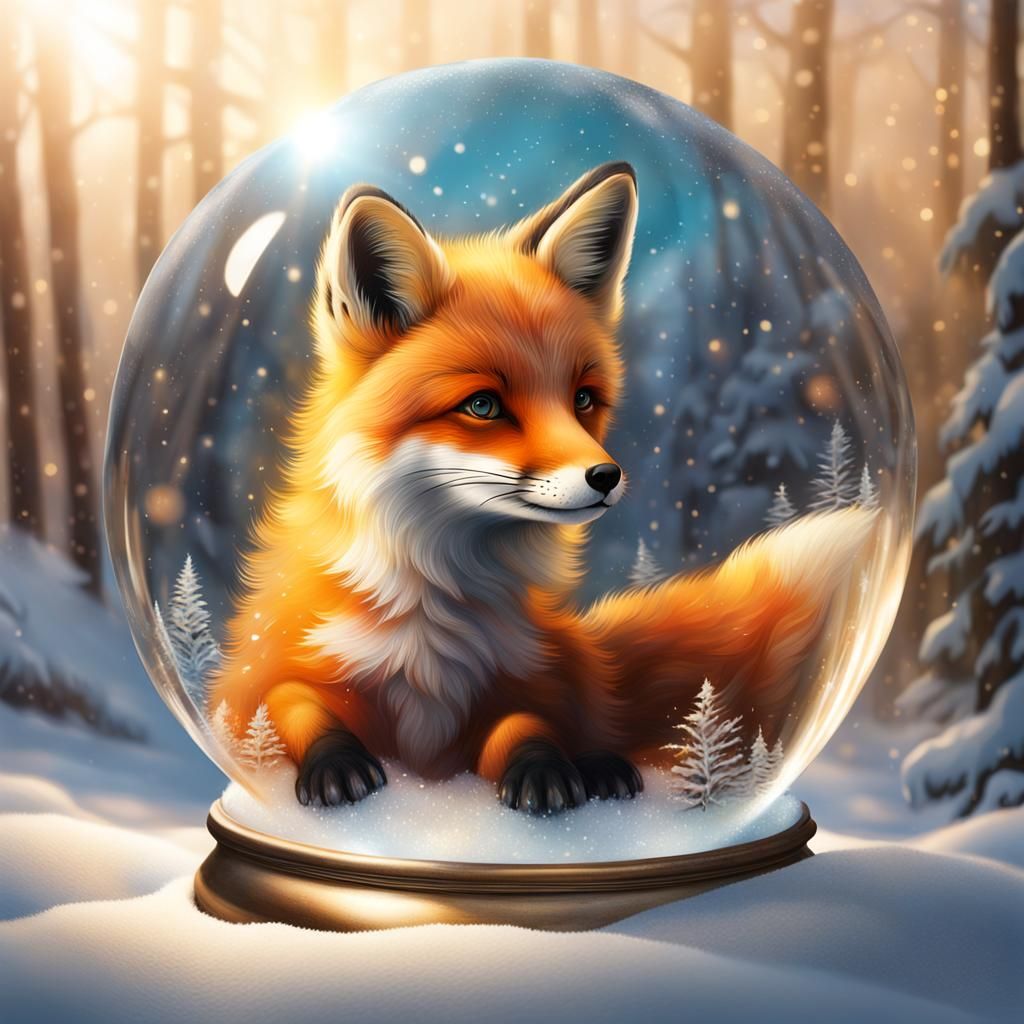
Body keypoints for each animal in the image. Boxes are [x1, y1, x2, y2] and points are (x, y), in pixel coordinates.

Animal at [209, 161, 874, 814]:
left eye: (582, 399)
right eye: (482, 405)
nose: (607, 477)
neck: (433, 610)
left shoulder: (525, 682)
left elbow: (525, 724)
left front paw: (543, 771)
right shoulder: (259, 675)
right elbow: (292, 703)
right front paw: (336, 764)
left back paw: (603, 766)